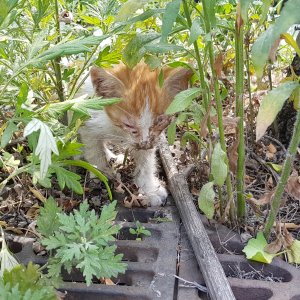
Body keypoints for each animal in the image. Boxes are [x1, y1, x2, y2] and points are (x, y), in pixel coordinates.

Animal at [79, 61, 192, 205]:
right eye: (129, 124)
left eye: (160, 121)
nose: (144, 143)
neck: (119, 130)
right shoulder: (88, 121)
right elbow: (93, 151)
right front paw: (101, 172)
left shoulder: (151, 139)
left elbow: (146, 161)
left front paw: (148, 188)